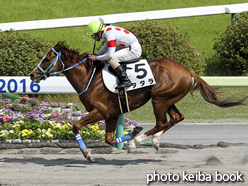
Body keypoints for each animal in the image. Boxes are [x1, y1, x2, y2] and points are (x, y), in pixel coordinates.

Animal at [30, 41, 246, 162]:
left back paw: (137, 142)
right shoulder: (111, 114)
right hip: (168, 99)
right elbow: (109, 139)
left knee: (162, 122)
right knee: (177, 117)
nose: (32, 75)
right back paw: (154, 140)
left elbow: (75, 126)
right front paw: (130, 133)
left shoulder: (100, 111)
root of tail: (188, 71)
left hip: (159, 98)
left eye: (47, 58)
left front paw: (88, 154)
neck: (89, 78)